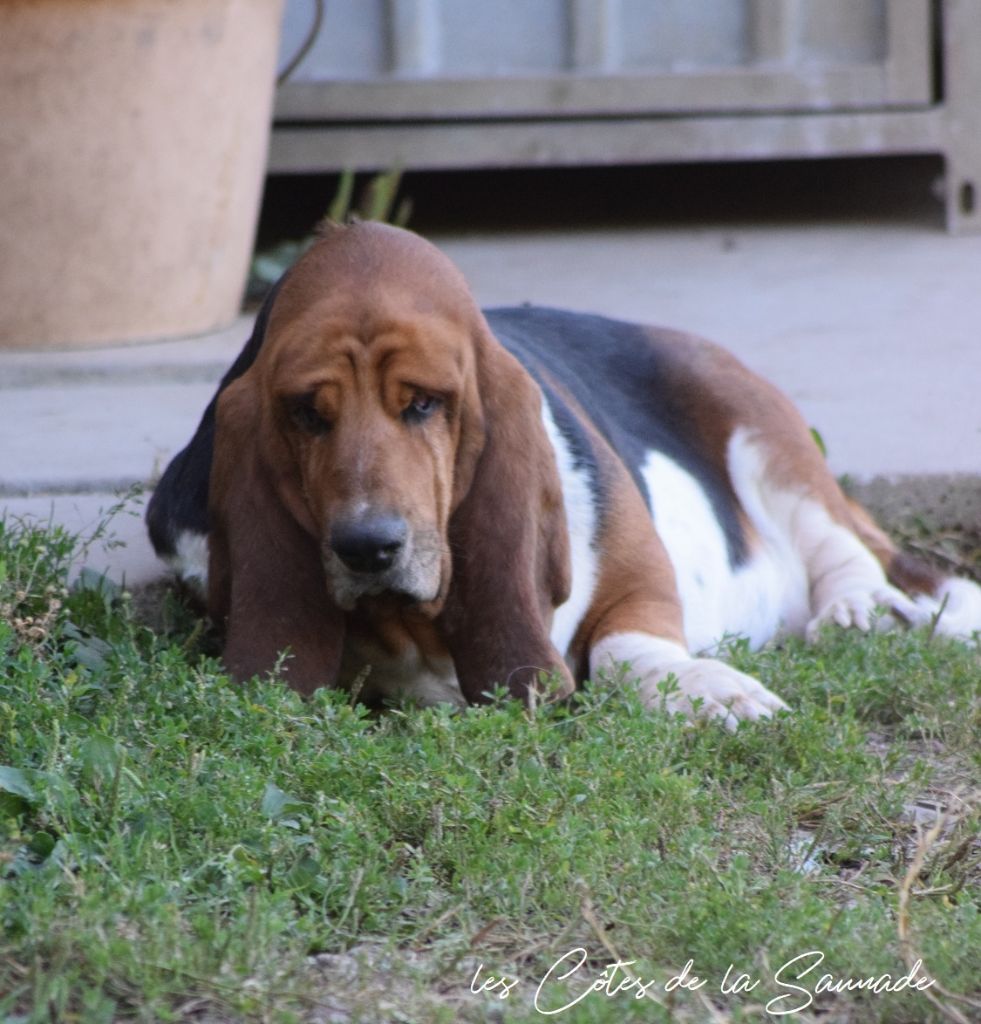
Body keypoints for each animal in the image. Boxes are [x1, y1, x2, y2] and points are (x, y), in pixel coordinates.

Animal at [145, 222, 981, 729]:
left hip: (758, 427)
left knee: (840, 542)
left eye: (423, 404)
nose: (367, 546)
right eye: (307, 414)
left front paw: (714, 692)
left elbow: (624, 649)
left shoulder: (642, 583)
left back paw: (857, 610)